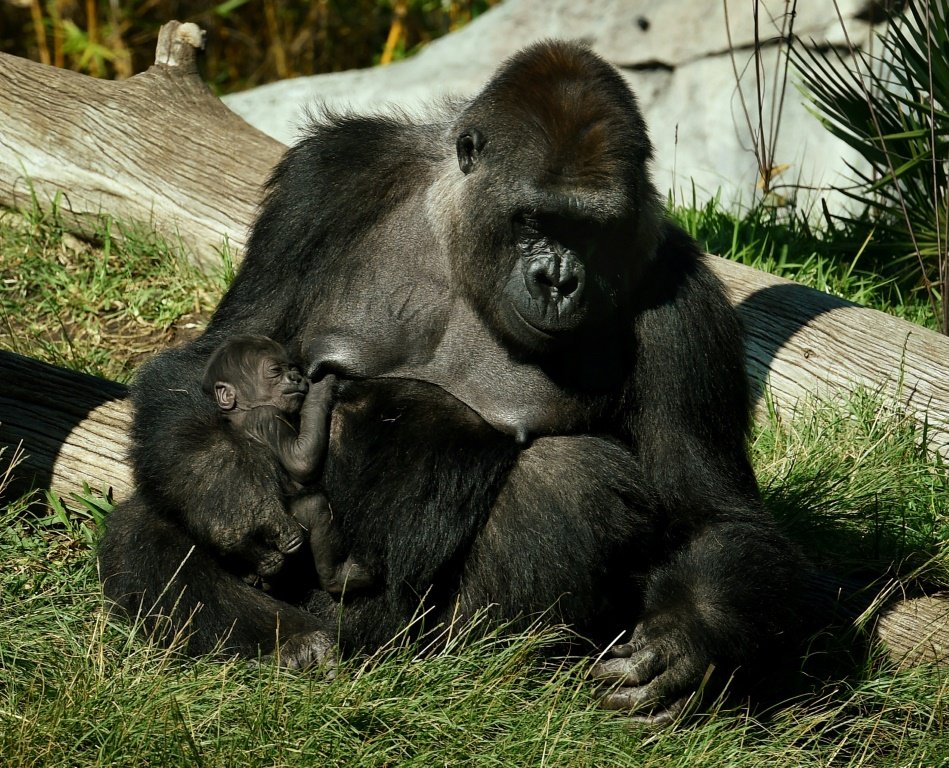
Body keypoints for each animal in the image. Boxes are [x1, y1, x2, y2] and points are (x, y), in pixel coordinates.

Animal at [203, 336, 370, 592]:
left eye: (293, 368)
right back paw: (339, 577)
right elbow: (300, 461)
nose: (296, 377)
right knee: (316, 507)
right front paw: (320, 391)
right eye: (275, 371)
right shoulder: (266, 417)